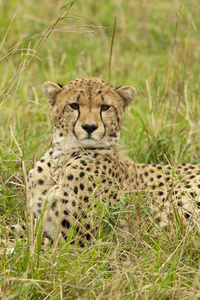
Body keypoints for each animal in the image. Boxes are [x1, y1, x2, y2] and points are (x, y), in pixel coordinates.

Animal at [25, 75, 200, 246]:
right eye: (74, 105)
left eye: (105, 107)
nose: (90, 127)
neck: (61, 158)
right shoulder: (38, 224)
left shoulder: (78, 239)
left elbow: (30, 244)